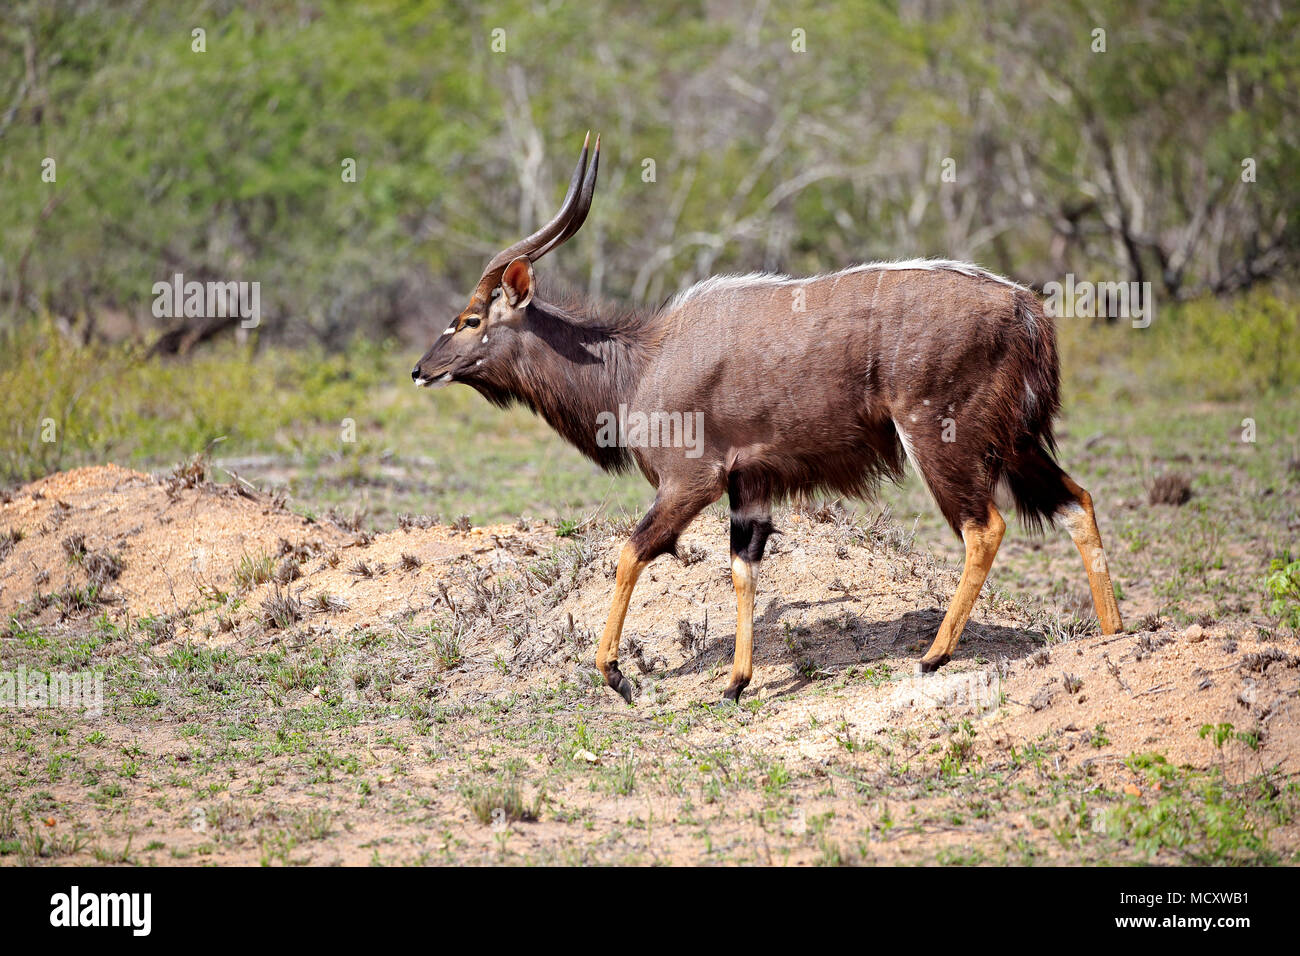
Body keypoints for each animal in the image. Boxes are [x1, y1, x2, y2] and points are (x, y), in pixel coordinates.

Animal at [410, 134, 1123, 702]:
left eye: (469, 320)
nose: (420, 370)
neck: (640, 362)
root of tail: (1027, 309)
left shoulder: (691, 481)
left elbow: (631, 550)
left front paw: (614, 673)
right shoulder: (747, 488)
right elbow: (742, 567)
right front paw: (735, 681)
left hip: (942, 439)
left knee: (985, 527)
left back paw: (935, 655)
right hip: (1018, 441)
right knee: (1078, 502)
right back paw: (1113, 634)